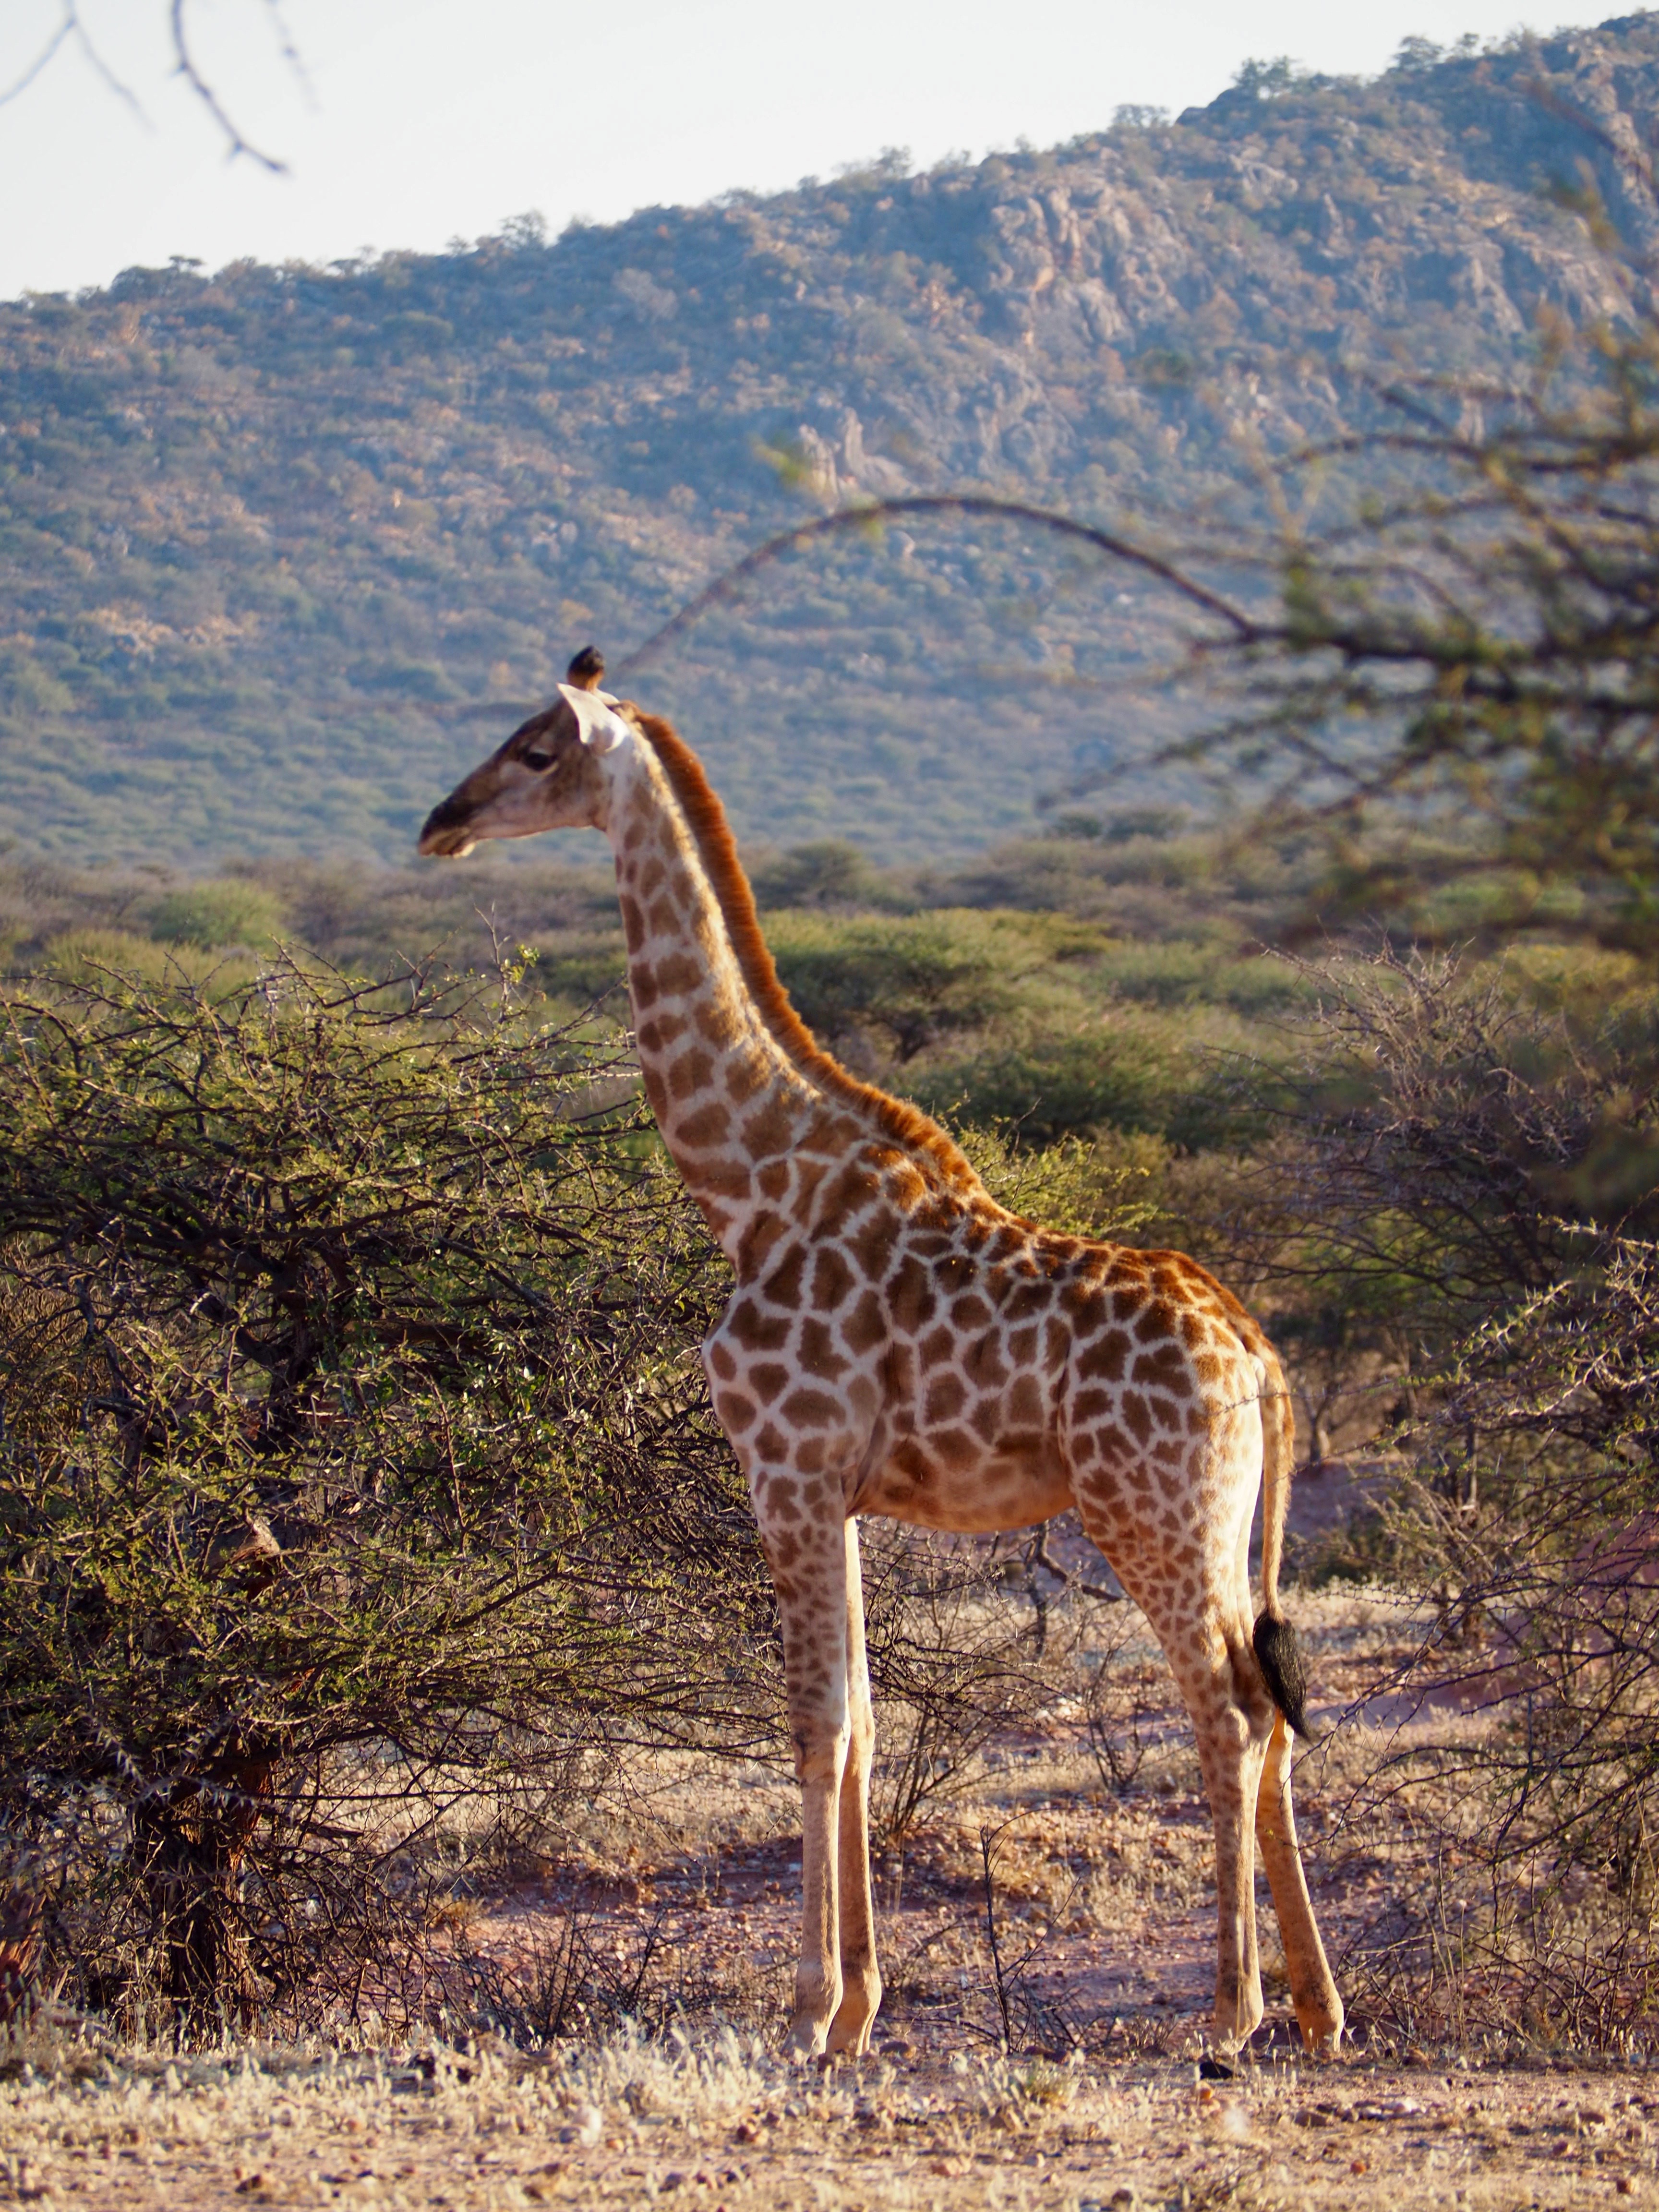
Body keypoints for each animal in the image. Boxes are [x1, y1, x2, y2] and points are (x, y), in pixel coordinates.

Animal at [422, 646, 1345, 2061]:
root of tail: (1258, 1358)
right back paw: (1316, 2009)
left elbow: (813, 1724)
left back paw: (1228, 2014)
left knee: (1231, 1714)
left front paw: (807, 2010)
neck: (751, 1184)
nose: (439, 822)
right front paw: (857, 2008)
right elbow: (858, 1718)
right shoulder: (840, 1491)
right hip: (1228, 1522)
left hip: (1148, 1513)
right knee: (1276, 1707)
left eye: (534, 751)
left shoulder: (786, 1470)